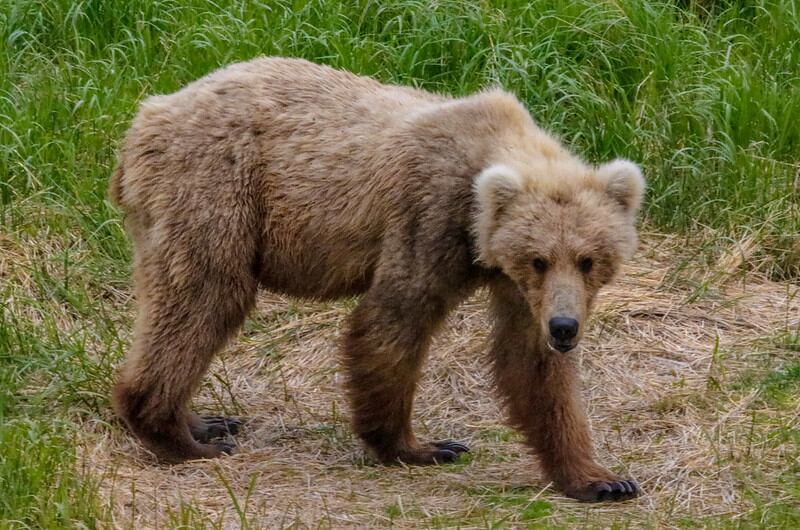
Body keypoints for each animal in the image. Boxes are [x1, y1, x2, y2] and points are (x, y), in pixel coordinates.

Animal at [109, 57, 645, 502]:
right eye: (539, 259)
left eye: (587, 260)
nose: (565, 327)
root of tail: (148, 113)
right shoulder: (429, 219)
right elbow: (393, 322)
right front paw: (421, 446)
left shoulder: (512, 282)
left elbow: (531, 365)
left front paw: (601, 478)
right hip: (216, 189)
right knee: (203, 297)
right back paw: (179, 436)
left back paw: (205, 421)